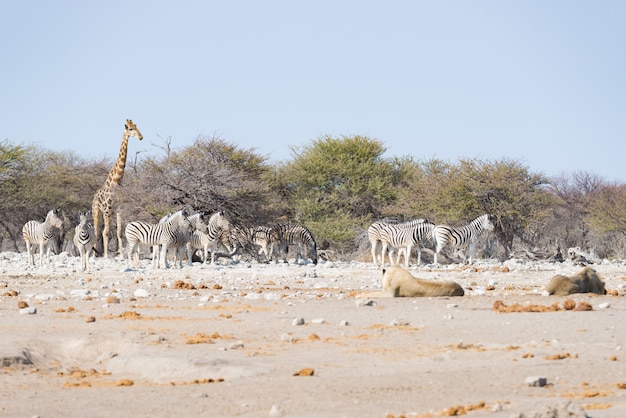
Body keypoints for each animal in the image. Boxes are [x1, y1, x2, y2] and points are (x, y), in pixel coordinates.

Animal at [91, 118, 143, 258]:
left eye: (136, 126)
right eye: (130, 128)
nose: (141, 137)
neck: (117, 181)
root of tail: (94, 197)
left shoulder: (120, 210)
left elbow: (119, 233)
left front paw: (121, 255)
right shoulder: (107, 210)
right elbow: (105, 233)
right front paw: (106, 256)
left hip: (110, 214)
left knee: (102, 232)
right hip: (97, 211)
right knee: (97, 231)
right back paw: (94, 255)